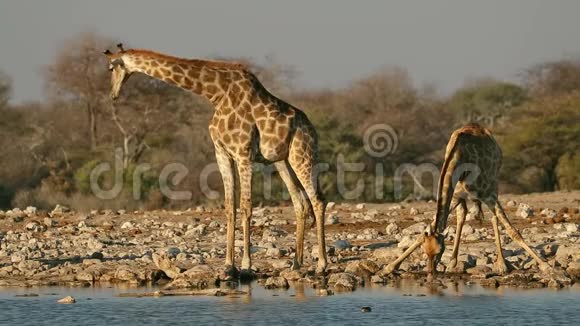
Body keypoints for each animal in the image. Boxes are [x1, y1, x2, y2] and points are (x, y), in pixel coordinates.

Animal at [103, 43, 326, 278]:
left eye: (111, 68)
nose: (113, 95)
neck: (216, 93)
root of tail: (312, 129)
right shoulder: (222, 153)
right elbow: (229, 206)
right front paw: (228, 265)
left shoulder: (243, 153)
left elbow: (246, 206)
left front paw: (246, 264)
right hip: (282, 161)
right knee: (300, 203)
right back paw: (296, 263)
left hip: (303, 155)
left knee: (318, 200)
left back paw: (321, 264)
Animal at [382, 123, 552, 282]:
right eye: (425, 251)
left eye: (439, 251)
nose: (430, 274)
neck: (460, 156)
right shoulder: (456, 196)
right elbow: (425, 231)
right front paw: (390, 267)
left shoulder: (488, 195)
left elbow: (513, 231)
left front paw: (546, 266)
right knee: (462, 216)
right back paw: (453, 263)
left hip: (494, 184)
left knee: (494, 218)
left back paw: (502, 264)